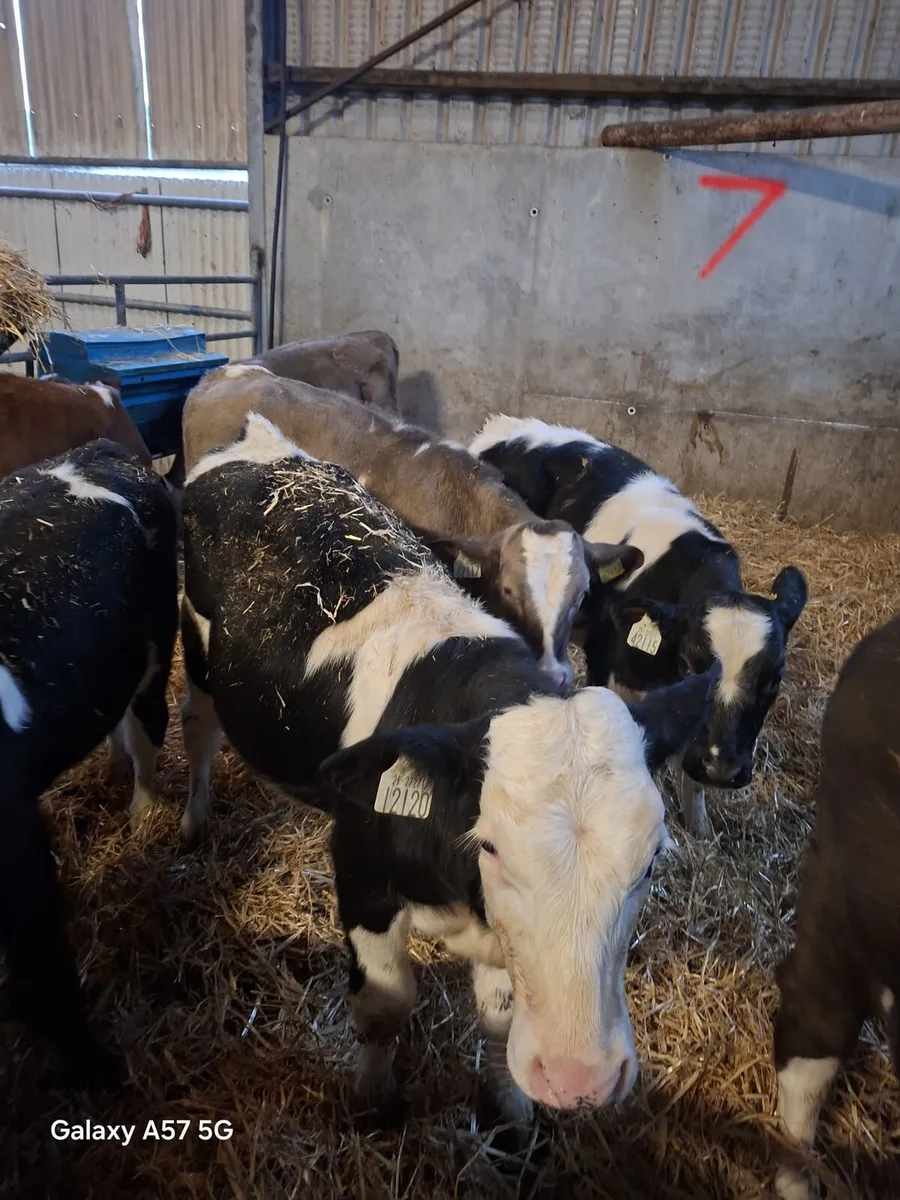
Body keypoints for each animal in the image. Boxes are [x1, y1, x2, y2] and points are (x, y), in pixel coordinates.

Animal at [0, 439, 178, 1090]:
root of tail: (93, 450)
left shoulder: (17, 851)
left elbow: (44, 980)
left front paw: (101, 1074)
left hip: (154, 643)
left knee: (147, 723)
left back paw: (143, 812)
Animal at [179, 412, 717, 1124]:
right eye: (490, 846)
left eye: (652, 859)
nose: (580, 1079)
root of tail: (260, 438)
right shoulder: (360, 875)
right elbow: (385, 1006)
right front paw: (372, 1103)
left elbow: (499, 1022)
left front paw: (511, 1115)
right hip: (198, 654)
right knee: (198, 729)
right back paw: (191, 819)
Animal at [469, 416, 808, 837]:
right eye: (687, 663)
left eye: (774, 679)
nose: (721, 769)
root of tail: (506, 425)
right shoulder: (608, 673)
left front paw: (698, 827)